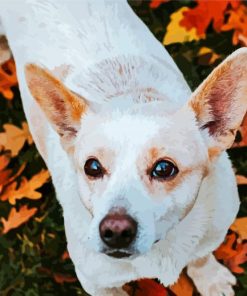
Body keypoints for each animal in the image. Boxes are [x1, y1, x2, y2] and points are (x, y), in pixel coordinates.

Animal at [0, 0, 247, 296]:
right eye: (92, 167)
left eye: (164, 168)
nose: (115, 230)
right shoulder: (97, 283)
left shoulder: (214, 229)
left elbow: (200, 255)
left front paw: (210, 278)